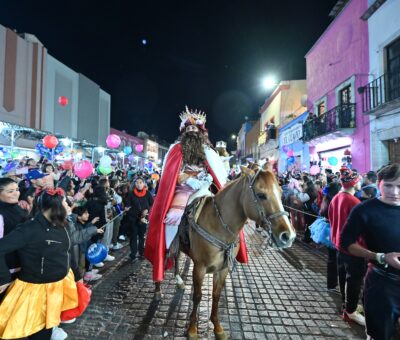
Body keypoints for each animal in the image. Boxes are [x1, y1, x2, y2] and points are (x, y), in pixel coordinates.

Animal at [156, 163, 296, 338]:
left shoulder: (223, 269)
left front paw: (217, 328)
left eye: (281, 192)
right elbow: (197, 296)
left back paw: (179, 281)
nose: (288, 236)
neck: (218, 225)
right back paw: (158, 290)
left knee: (175, 256)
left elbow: (216, 295)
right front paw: (192, 329)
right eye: (261, 195)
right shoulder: (199, 268)